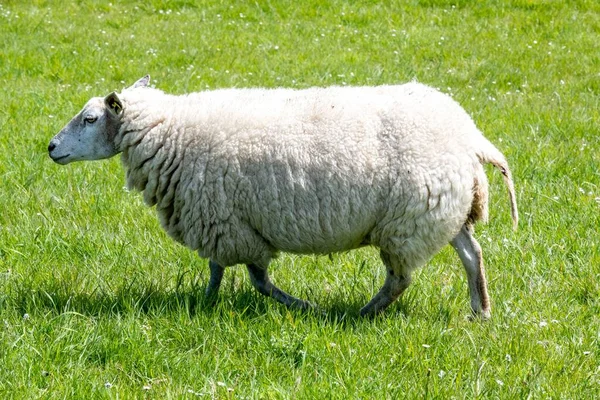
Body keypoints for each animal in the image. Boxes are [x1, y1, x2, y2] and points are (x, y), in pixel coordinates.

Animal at [48, 76, 516, 318]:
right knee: (471, 253)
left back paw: (360, 313)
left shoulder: (226, 223)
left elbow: (255, 279)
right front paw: (204, 303)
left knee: (400, 279)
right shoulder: (224, 223)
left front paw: (300, 306)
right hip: (443, 210)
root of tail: (470, 136)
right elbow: (222, 272)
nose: (51, 147)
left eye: (89, 119)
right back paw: (481, 311)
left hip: (408, 222)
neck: (171, 132)